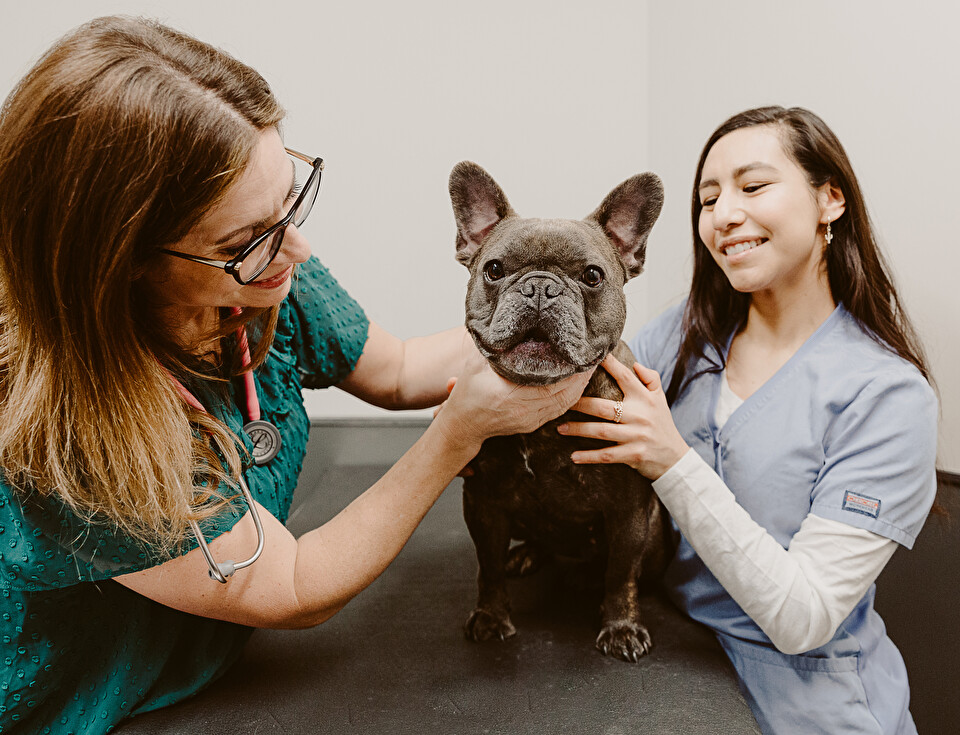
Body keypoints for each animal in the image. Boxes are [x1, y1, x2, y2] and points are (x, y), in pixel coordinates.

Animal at [450, 161, 676, 660]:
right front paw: (491, 616)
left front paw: (621, 625)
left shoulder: (629, 512)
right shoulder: (483, 503)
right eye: (494, 269)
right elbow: (487, 566)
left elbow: (621, 574)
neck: (545, 413)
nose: (540, 287)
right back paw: (526, 554)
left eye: (592, 275)